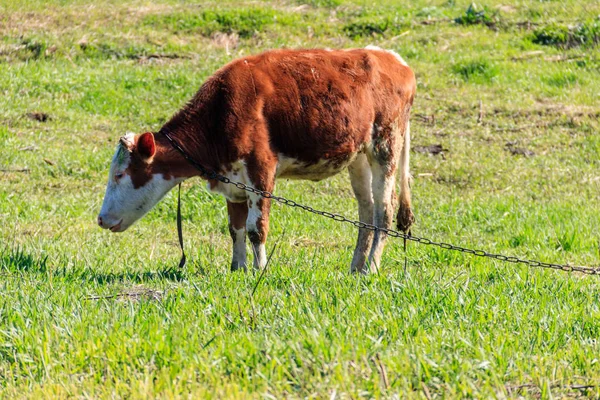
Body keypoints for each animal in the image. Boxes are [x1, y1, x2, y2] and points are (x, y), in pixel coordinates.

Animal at [98, 46, 418, 272]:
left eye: (119, 175)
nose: (100, 219)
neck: (220, 114)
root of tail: (394, 60)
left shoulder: (261, 169)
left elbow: (256, 228)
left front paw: (260, 269)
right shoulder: (232, 179)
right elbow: (236, 227)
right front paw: (237, 268)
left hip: (385, 146)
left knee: (384, 211)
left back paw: (371, 268)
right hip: (358, 158)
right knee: (367, 211)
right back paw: (355, 267)